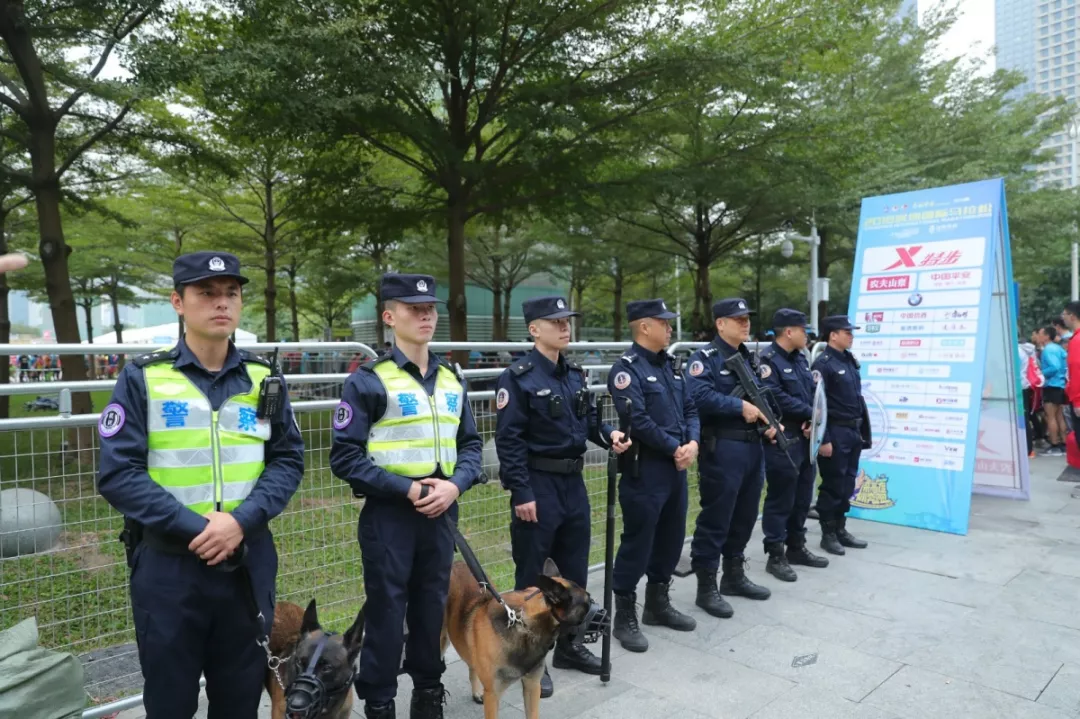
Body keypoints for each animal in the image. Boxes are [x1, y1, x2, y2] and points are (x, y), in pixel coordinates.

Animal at [441, 557, 594, 719]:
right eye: (588, 601)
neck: (523, 625)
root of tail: (457, 562)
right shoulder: (493, 695)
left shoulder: (532, 686)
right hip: (442, 641)